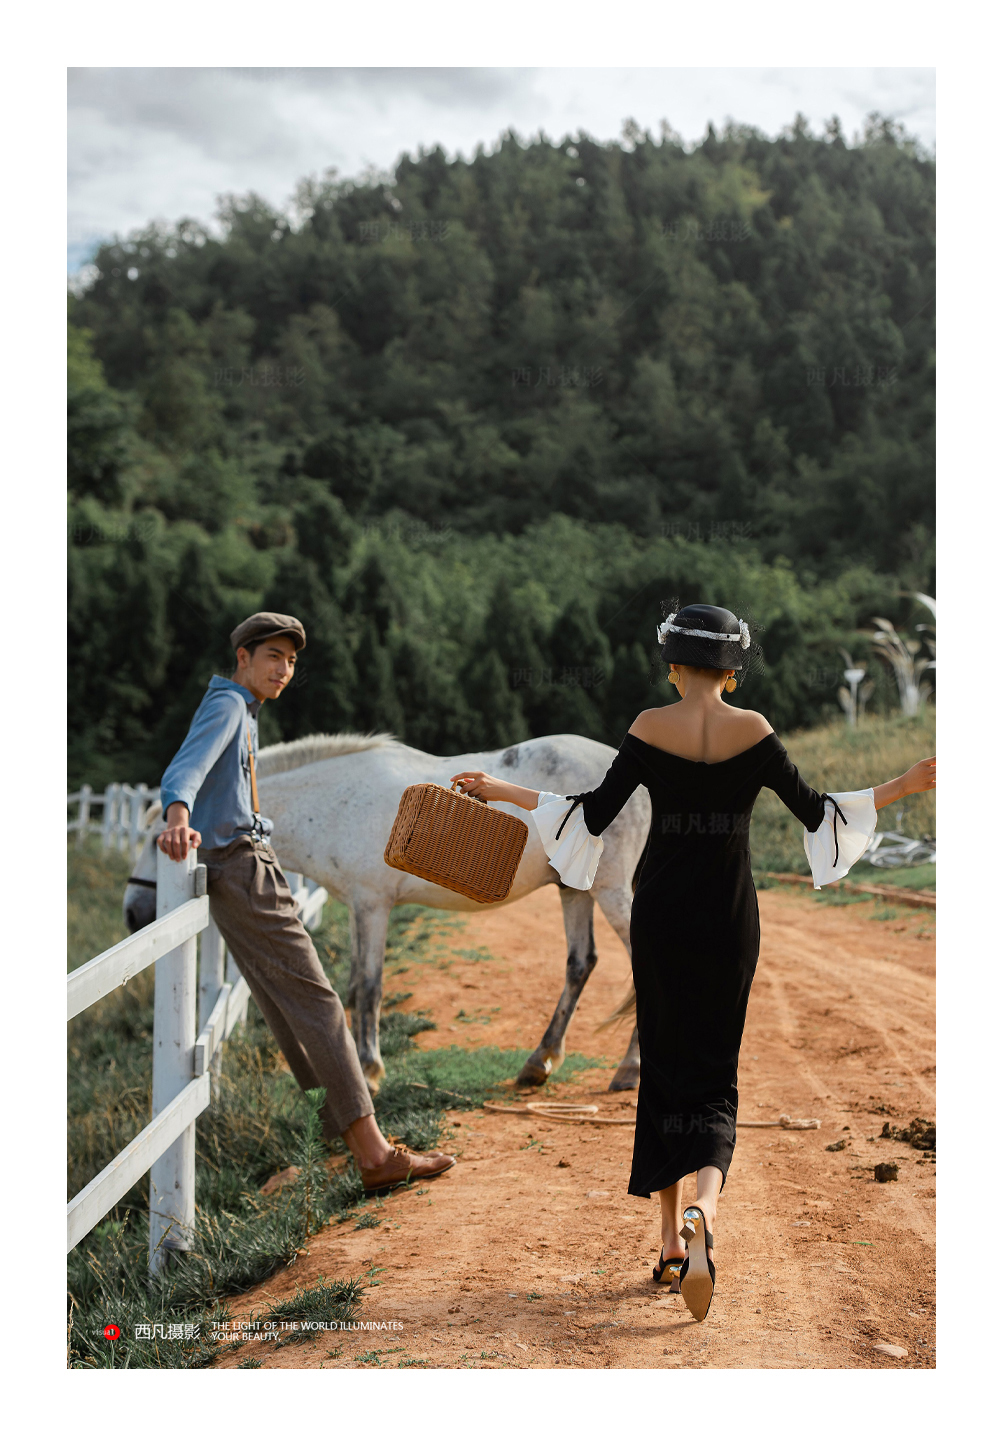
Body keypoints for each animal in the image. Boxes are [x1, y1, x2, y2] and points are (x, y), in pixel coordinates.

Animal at [124, 731, 650, 1094]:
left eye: (159, 843)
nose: (133, 912)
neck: (334, 802)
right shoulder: (361, 908)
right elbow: (356, 984)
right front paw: (361, 1062)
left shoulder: (373, 905)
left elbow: (372, 986)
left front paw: (371, 1069)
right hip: (573, 891)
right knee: (579, 964)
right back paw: (539, 1061)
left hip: (609, 893)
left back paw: (628, 1069)